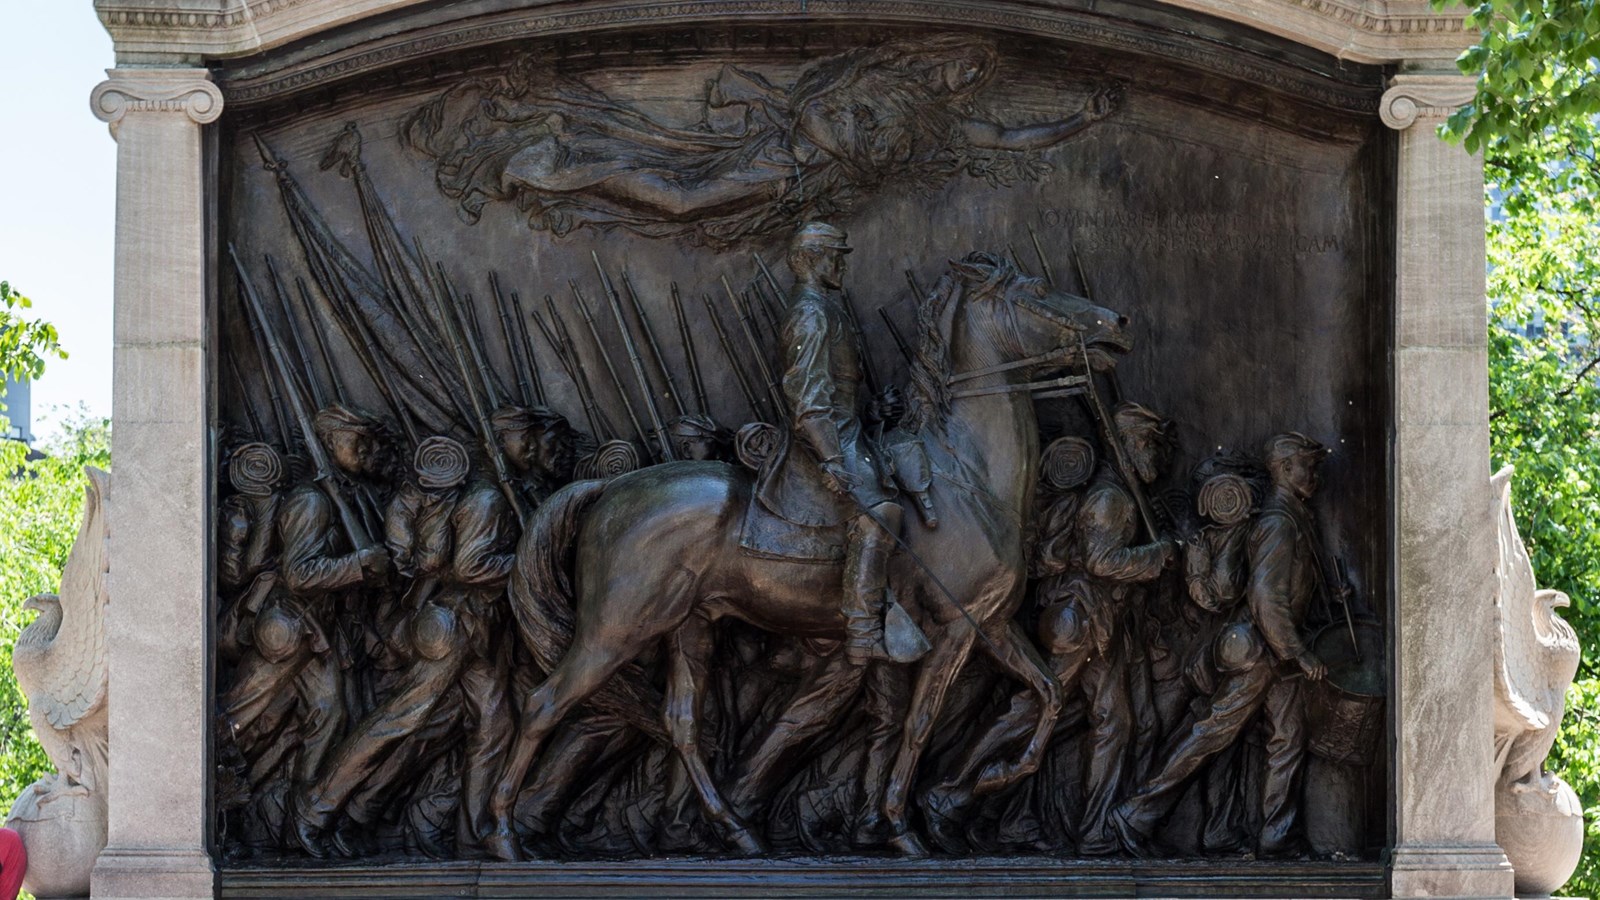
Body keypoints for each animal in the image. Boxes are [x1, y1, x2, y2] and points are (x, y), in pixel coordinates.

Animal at [483, 253, 1126, 851]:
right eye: (1039, 291)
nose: (1116, 322)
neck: (964, 472)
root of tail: (609, 489)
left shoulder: (991, 624)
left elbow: (1047, 692)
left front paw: (990, 779)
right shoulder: (954, 627)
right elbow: (920, 725)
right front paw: (902, 826)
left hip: (689, 625)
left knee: (682, 723)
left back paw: (736, 831)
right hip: (617, 628)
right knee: (543, 703)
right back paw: (504, 833)